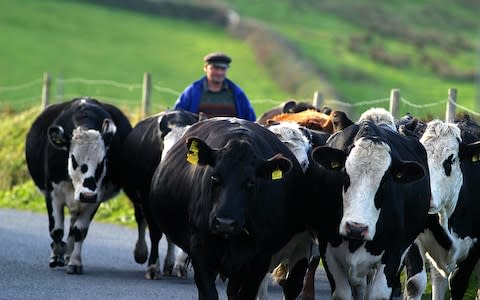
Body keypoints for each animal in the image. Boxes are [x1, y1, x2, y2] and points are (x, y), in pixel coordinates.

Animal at [24, 98, 131, 274]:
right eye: (73, 159)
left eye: (103, 161)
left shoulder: (95, 198)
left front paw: (74, 262)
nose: (87, 194)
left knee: (74, 227)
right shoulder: (53, 194)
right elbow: (56, 230)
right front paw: (57, 255)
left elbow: (79, 231)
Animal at [121, 109, 205, 278]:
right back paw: (141, 253)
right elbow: (155, 233)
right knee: (141, 220)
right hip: (137, 198)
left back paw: (170, 264)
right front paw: (153, 266)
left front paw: (179, 265)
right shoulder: (146, 196)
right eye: (168, 151)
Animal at [147, 116, 308, 298]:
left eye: (251, 183)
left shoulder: (260, 259)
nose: (225, 223)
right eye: (214, 177)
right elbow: (208, 293)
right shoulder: (200, 250)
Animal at [312, 108, 432, 300]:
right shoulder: (327, 246)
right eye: (345, 175)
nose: (356, 228)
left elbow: (378, 294)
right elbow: (343, 293)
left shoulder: (394, 251)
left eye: (385, 182)